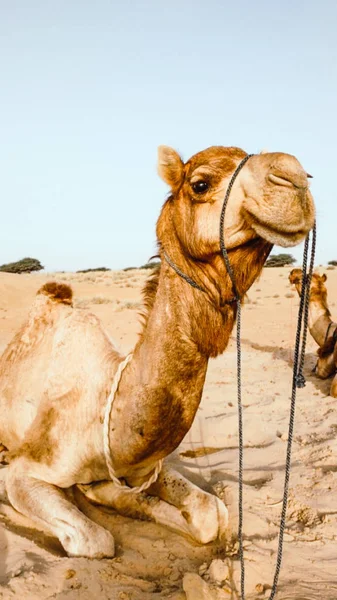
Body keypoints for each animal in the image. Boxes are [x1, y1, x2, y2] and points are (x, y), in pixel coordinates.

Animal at [0, 145, 316, 556]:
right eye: (200, 184)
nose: (294, 177)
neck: (104, 408)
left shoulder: (144, 468)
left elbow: (210, 514)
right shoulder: (28, 470)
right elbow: (96, 539)